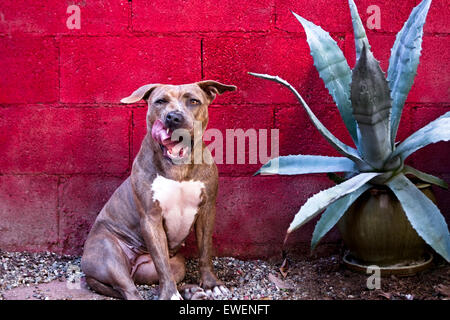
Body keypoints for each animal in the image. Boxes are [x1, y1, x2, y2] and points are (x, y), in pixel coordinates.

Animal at [81, 80, 236, 300]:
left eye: (193, 101)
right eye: (160, 101)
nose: (173, 117)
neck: (178, 167)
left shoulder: (207, 209)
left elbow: (205, 250)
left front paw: (211, 284)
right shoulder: (151, 218)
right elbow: (161, 262)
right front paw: (171, 295)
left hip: (176, 264)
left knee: (159, 279)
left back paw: (190, 290)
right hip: (108, 254)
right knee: (130, 289)